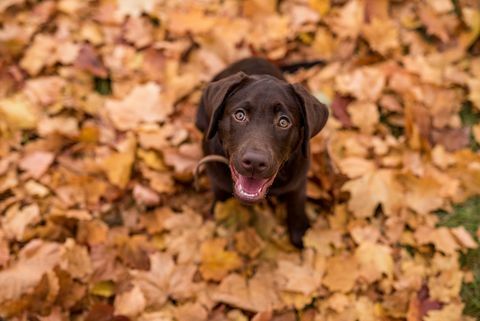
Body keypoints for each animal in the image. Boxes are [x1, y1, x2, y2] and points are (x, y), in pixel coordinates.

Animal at [194, 57, 326, 248]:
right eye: (239, 115)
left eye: (283, 122)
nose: (255, 162)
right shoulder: (217, 178)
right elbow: (220, 198)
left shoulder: (298, 181)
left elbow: (296, 205)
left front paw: (300, 234)